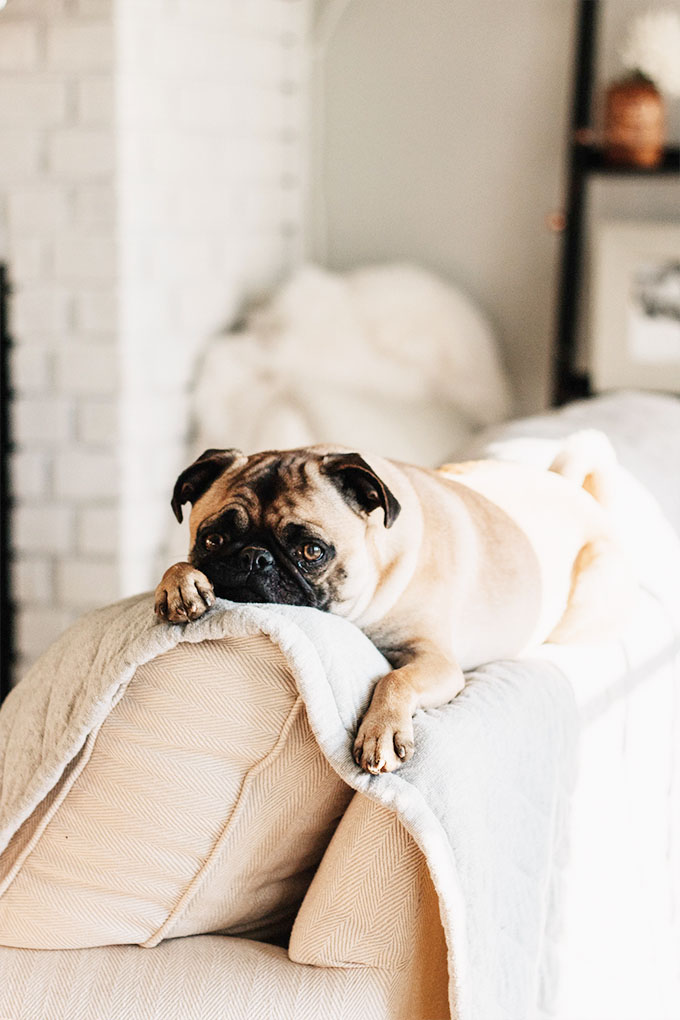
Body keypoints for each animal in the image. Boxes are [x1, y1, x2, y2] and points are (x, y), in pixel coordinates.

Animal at [152, 434, 632, 775]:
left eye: (312, 551)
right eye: (213, 539)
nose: (255, 558)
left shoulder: (437, 662)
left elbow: (395, 680)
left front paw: (381, 732)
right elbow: (178, 566)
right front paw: (179, 583)